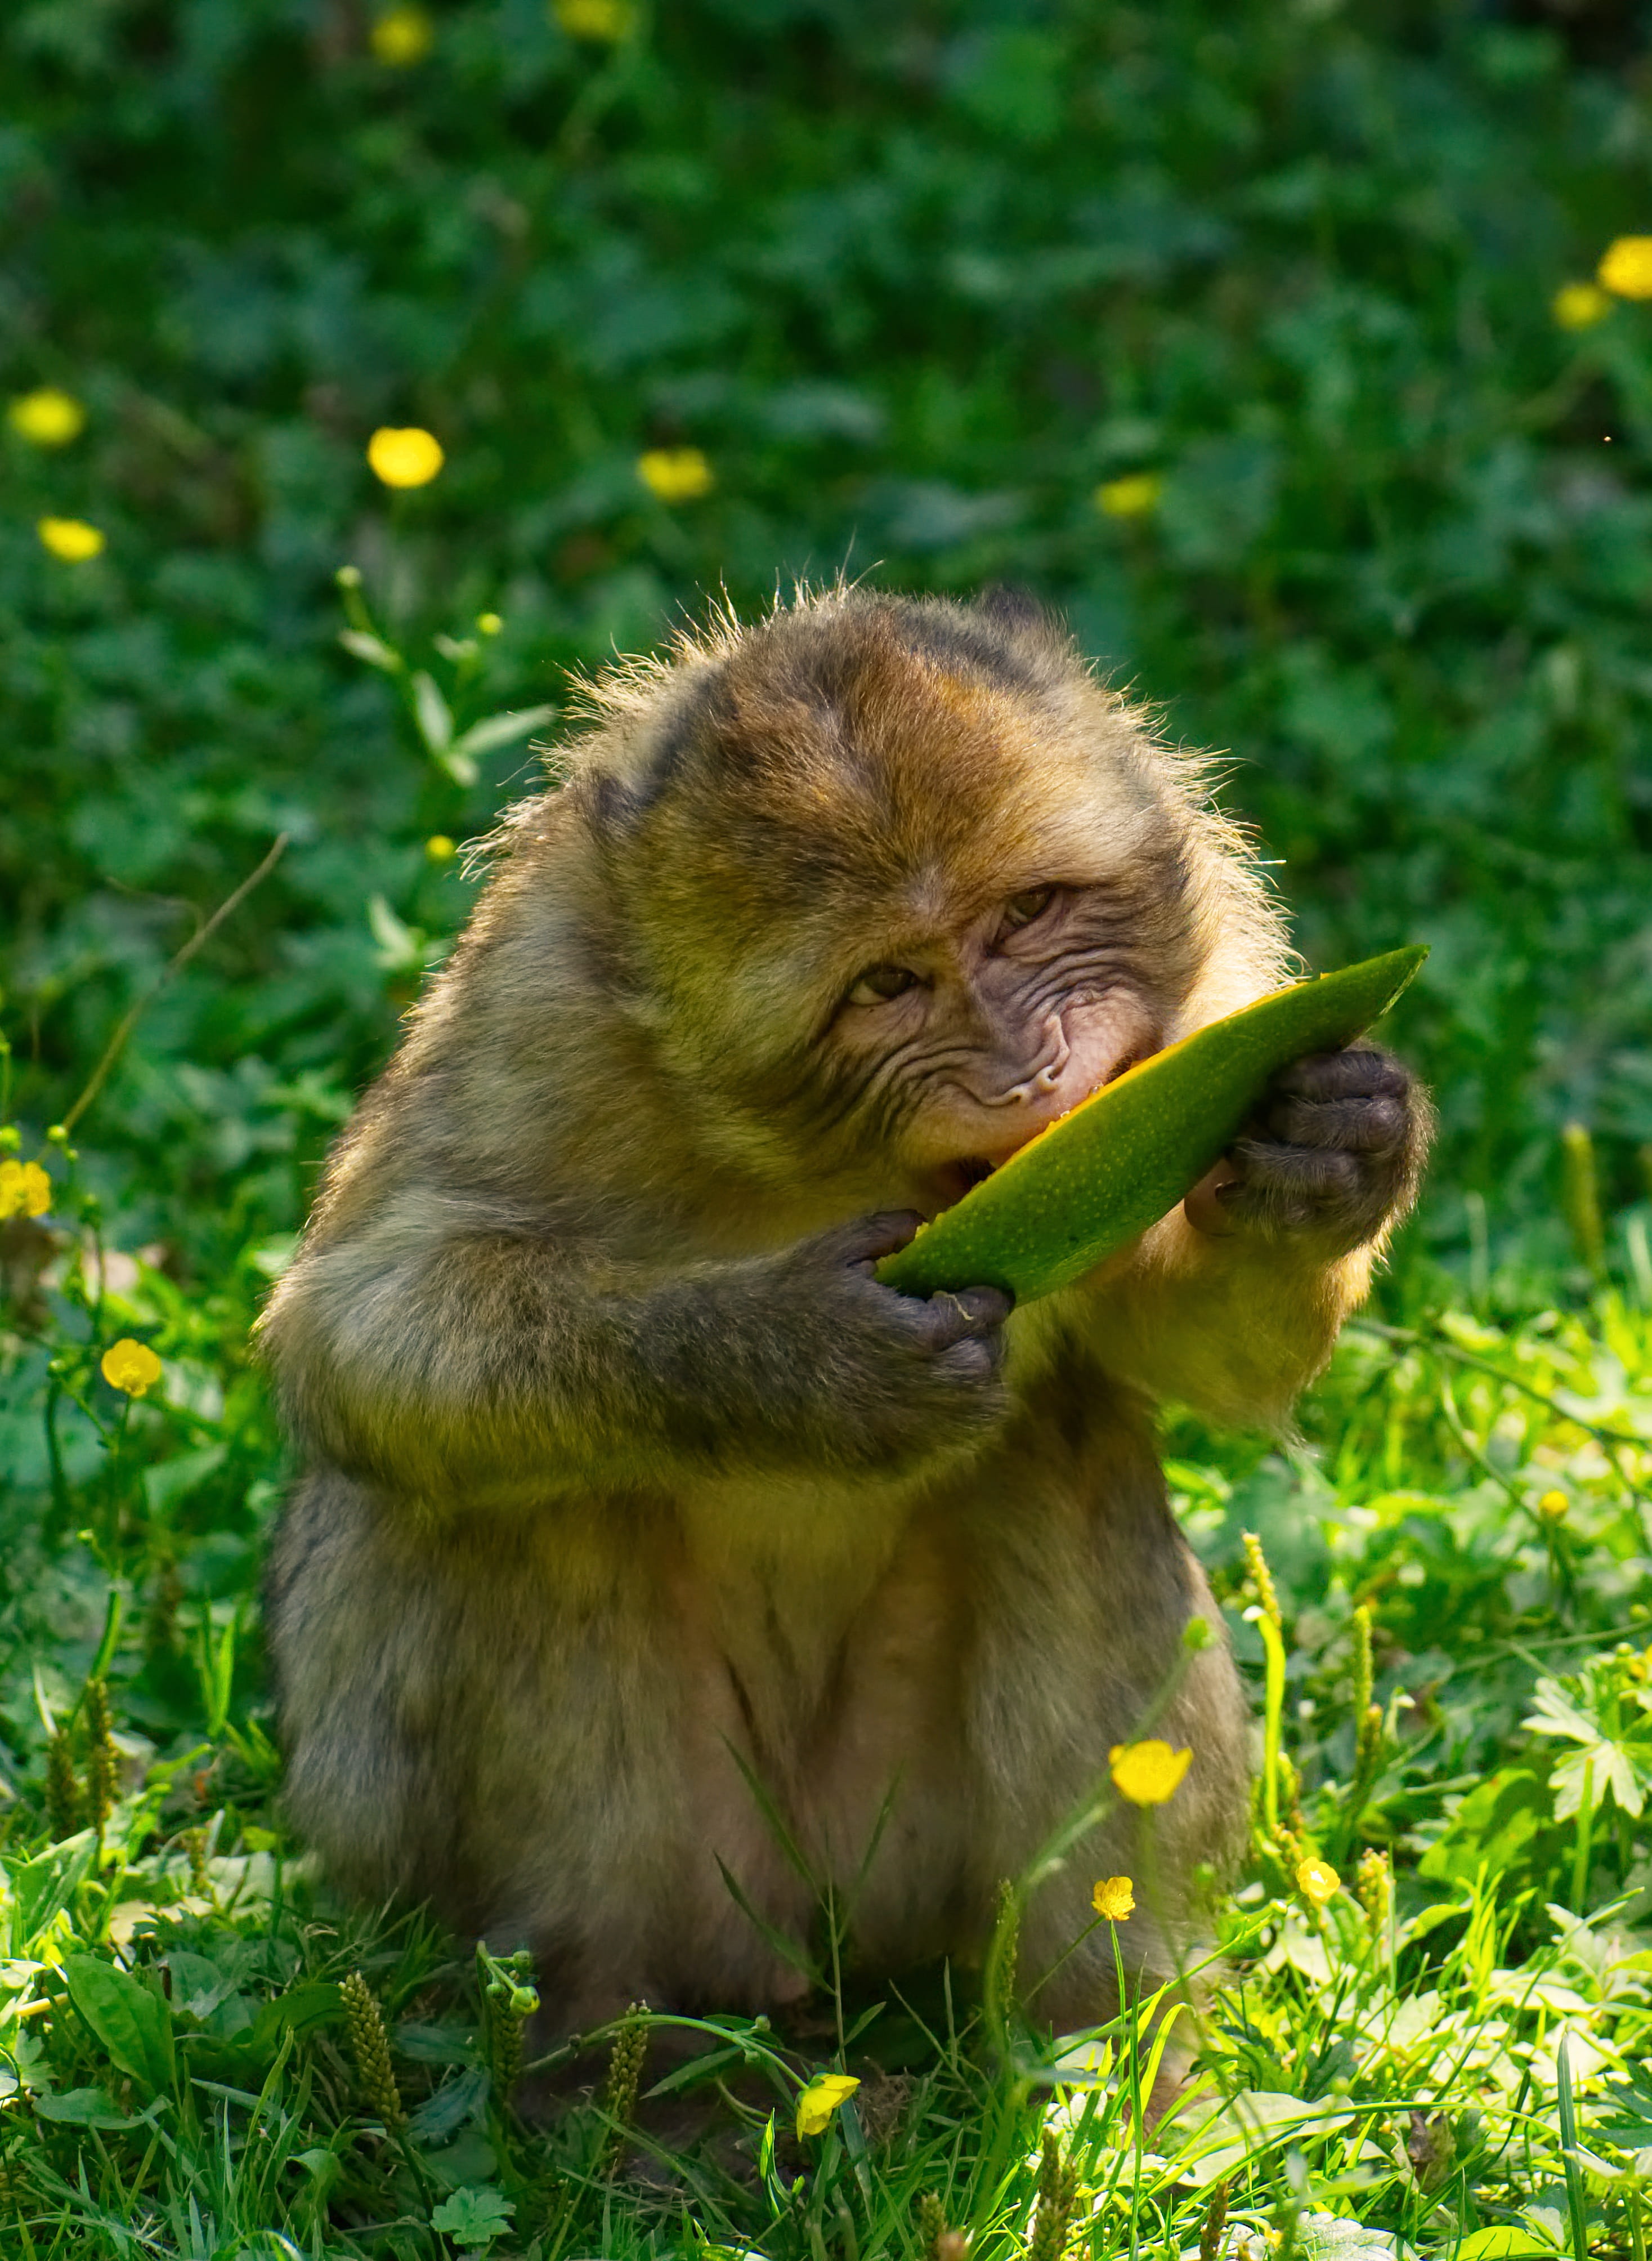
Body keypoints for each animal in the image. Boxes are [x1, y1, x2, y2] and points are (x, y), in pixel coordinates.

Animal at [257, 585, 1428, 2065]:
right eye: (887, 985)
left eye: (1028, 912)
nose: (1026, 1072)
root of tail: (797, 1943)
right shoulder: (539, 1013)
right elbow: (360, 1327)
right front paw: (799, 1364)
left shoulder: (1216, 983)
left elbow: (1191, 1351)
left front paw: (1332, 1156)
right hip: (445, 1844)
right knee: (523, 1499)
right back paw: (592, 2040)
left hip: (903, 1858)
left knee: (1055, 1446)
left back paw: (1102, 2029)